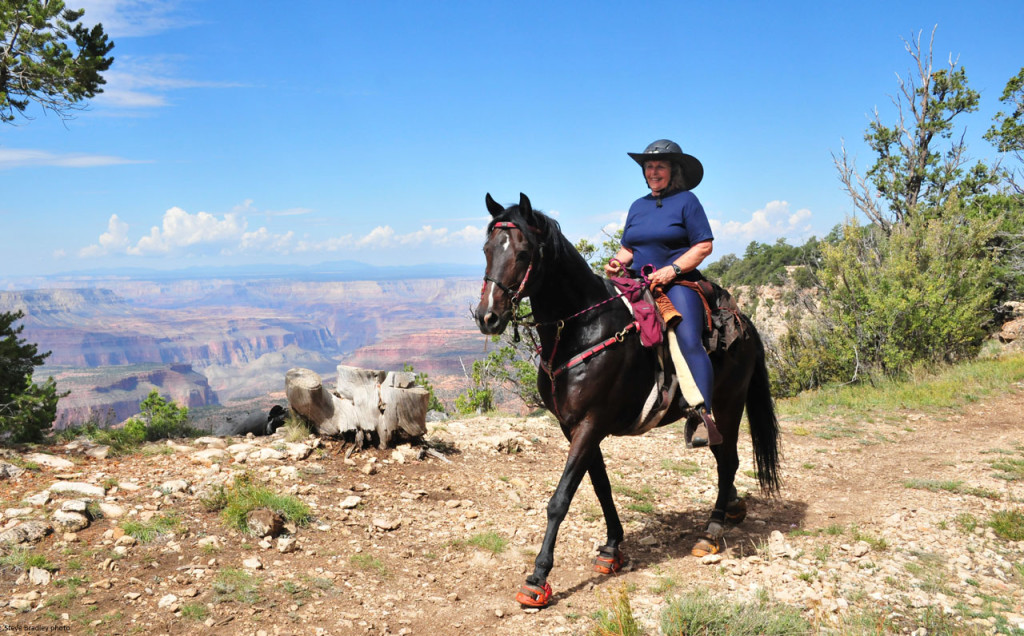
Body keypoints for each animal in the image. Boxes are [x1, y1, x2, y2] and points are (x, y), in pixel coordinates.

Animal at [475, 192, 778, 606]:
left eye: (523, 253)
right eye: (487, 249)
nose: (487, 316)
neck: (583, 329)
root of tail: (744, 322)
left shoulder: (591, 423)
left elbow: (560, 499)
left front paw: (538, 578)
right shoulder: (575, 427)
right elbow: (600, 486)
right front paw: (611, 549)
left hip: (729, 405)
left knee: (728, 460)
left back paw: (711, 530)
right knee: (723, 461)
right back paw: (732, 507)